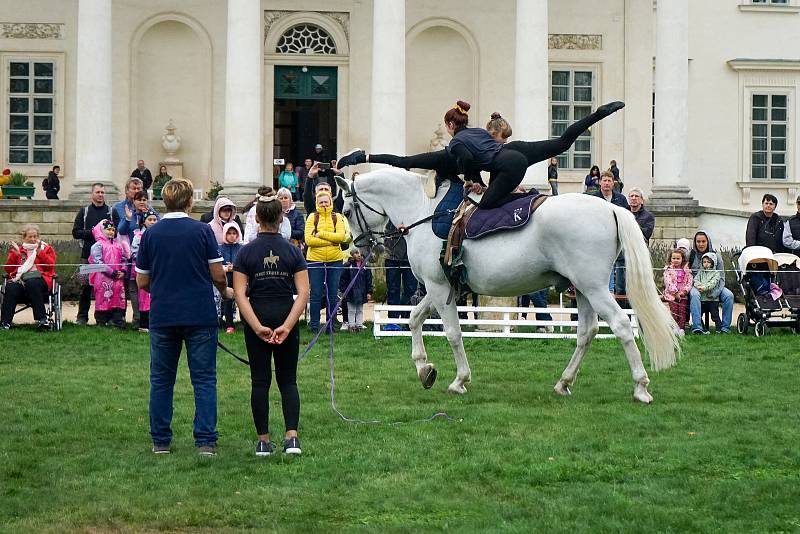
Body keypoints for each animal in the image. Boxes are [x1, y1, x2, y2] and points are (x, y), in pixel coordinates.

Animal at [334, 170, 680, 404]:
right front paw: (424, 368)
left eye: (347, 211)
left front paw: (459, 380)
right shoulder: (440, 289)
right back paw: (564, 382)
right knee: (587, 332)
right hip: (582, 290)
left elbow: (453, 333)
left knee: (621, 325)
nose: (357, 248)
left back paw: (641, 386)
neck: (425, 211)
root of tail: (610, 208)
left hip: (595, 288)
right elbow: (414, 319)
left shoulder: (438, 287)